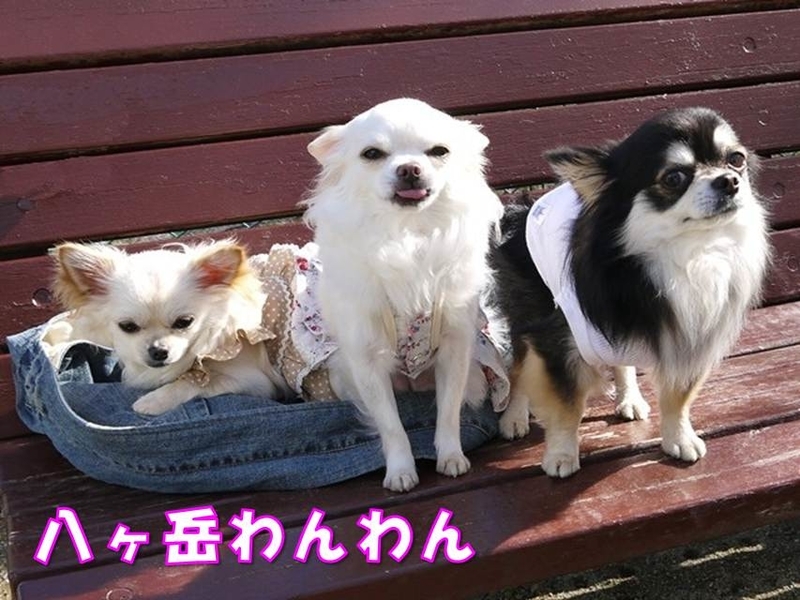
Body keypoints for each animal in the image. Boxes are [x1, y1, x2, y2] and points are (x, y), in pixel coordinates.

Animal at [52, 240, 290, 415]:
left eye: (184, 322)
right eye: (128, 326)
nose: (158, 351)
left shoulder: (258, 384)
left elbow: (197, 381)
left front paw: (153, 401)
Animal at [303, 98, 506, 492]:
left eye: (439, 151)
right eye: (372, 154)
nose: (409, 168)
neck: (408, 235)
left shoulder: (456, 347)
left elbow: (448, 410)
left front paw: (450, 455)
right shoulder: (366, 360)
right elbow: (391, 426)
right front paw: (400, 470)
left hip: (477, 375)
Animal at [490, 107, 770, 477]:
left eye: (736, 160)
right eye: (673, 178)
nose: (729, 181)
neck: (688, 256)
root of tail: (522, 212)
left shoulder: (688, 338)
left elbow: (678, 398)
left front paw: (679, 438)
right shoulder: (556, 343)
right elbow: (566, 406)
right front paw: (561, 455)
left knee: (621, 362)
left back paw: (630, 398)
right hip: (526, 312)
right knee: (518, 370)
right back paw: (514, 416)